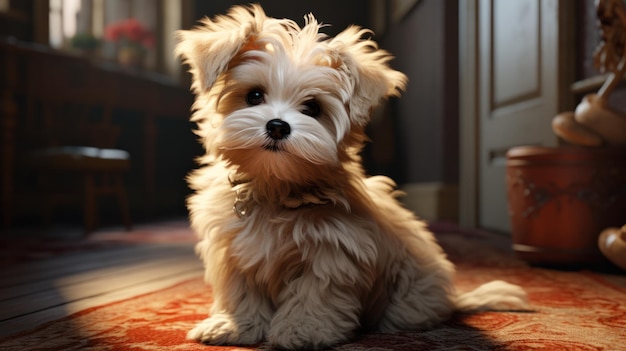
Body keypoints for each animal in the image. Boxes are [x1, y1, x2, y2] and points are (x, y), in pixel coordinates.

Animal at [176, 4, 528, 350]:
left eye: (312, 108)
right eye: (254, 96)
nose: (277, 126)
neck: (276, 186)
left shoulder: (333, 252)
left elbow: (314, 294)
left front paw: (303, 330)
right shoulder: (232, 251)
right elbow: (240, 292)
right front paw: (236, 325)